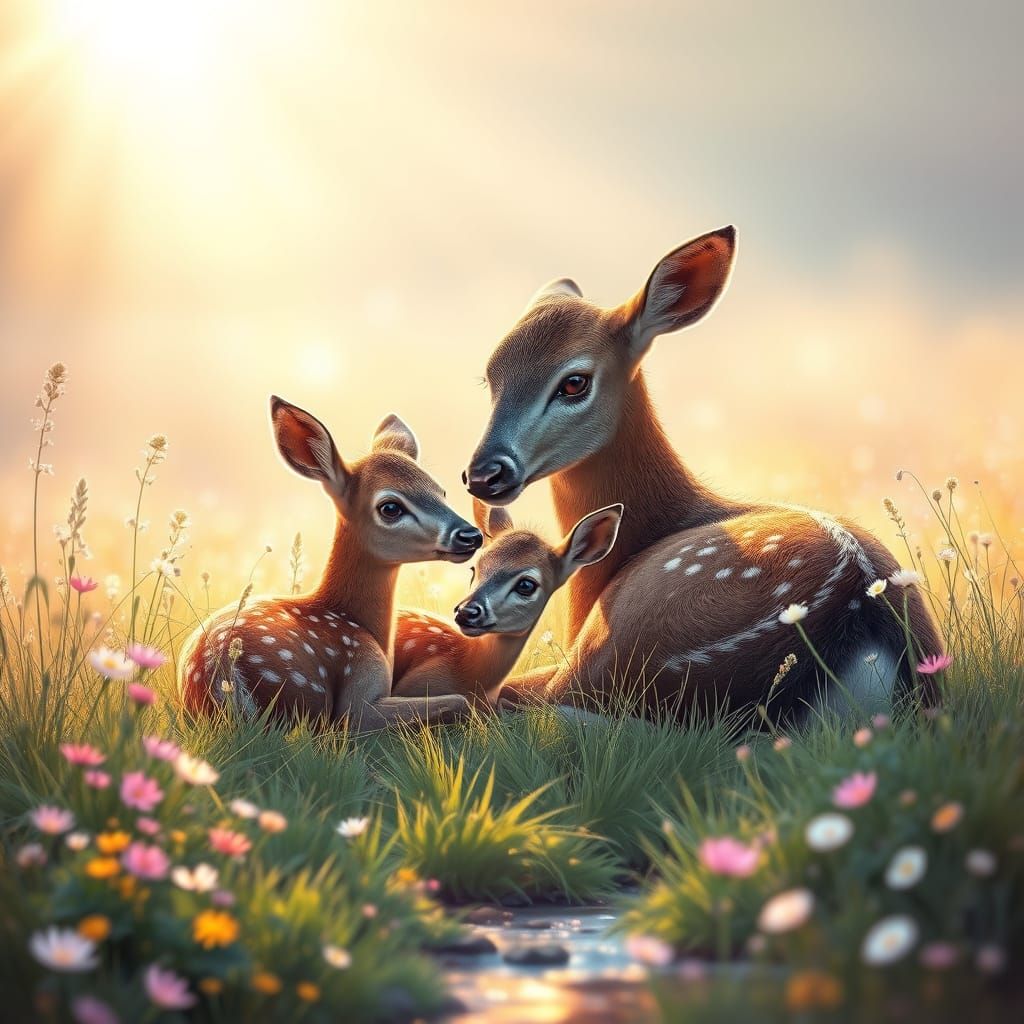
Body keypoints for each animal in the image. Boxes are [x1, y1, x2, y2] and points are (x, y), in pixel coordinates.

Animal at [178, 396, 483, 730]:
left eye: (440, 491)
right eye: (390, 507)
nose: (470, 535)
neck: (361, 624)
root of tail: (224, 673)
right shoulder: (359, 692)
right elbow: (459, 700)